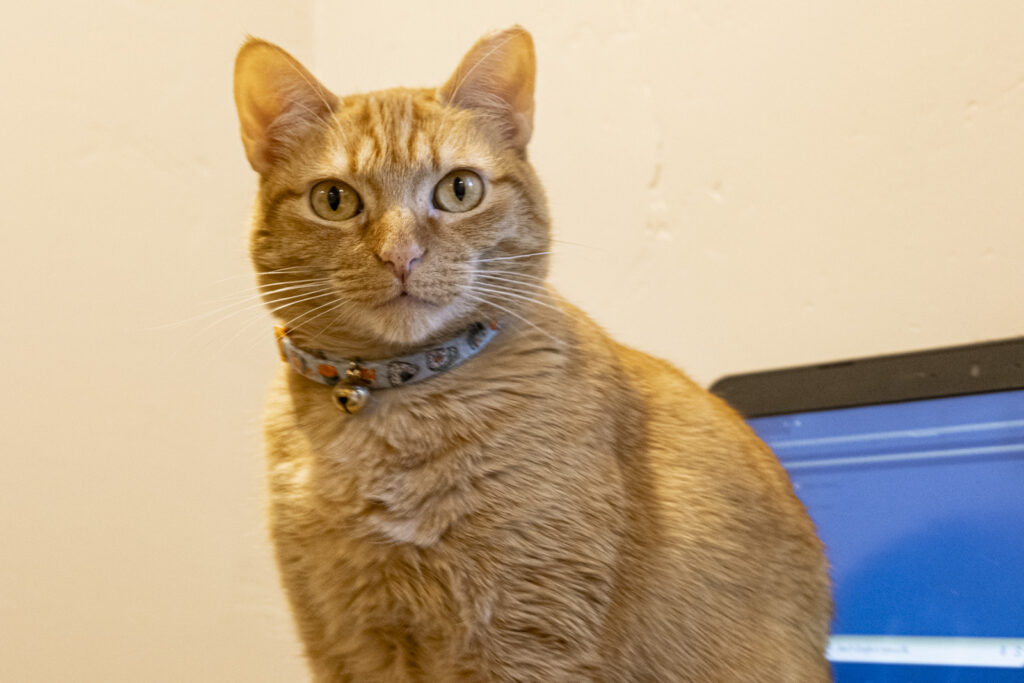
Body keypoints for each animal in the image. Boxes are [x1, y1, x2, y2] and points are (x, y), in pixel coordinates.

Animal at [232, 26, 831, 683]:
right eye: (334, 200)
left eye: (459, 189)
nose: (401, 256)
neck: (397, 397)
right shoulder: (349, 644)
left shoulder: (528, 639)